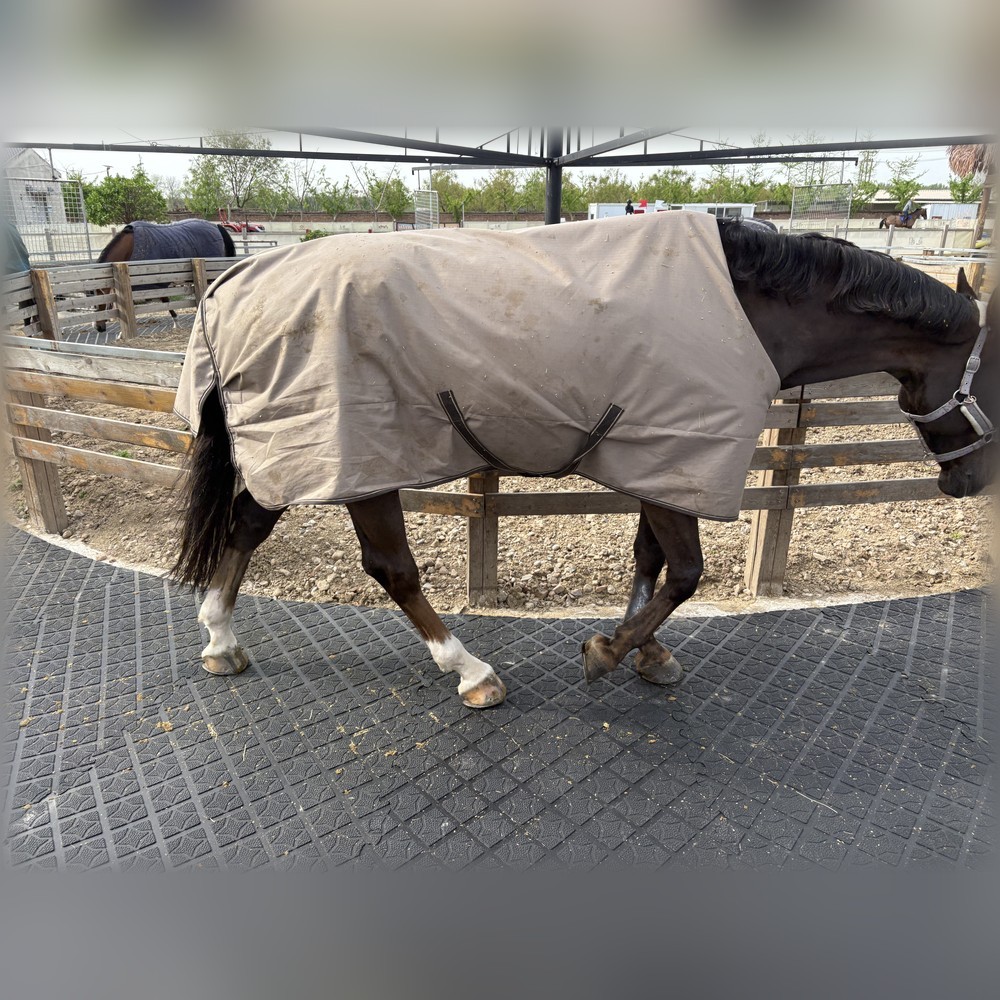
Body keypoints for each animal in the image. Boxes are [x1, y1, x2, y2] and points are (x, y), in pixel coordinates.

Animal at [171, 214, 996, 711]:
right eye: (993, 374)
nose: (974, 480)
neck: (745, 311)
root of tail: (235, 282)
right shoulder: (676, 458)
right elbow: (687, 572)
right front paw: (609, 650)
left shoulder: (662, 461)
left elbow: (650, 560)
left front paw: (647, 650)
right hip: (356, 460)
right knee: (391, 569)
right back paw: (471, 672)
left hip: (293, 450)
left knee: (246, 526)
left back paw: (220, 639)